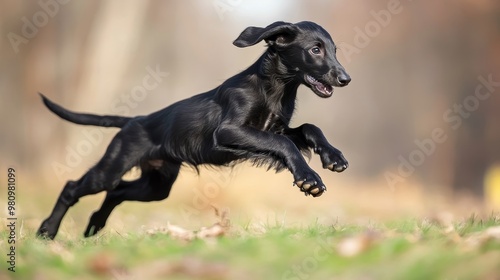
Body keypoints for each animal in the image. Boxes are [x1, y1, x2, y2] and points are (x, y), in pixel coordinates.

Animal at [37, 20, 350, 240]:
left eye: (334, 50)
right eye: (315, 49)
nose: (346, 79)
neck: (274, 88)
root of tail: (134, 119)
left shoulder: (277, 128)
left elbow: (308, 128)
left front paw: (333, 157)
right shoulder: (228, 132)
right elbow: (284, 145)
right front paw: (309, 178)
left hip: (157, 185)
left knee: (117, 192)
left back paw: (94, 225)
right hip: (112, 167)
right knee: (73, 187)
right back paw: (46, 231)